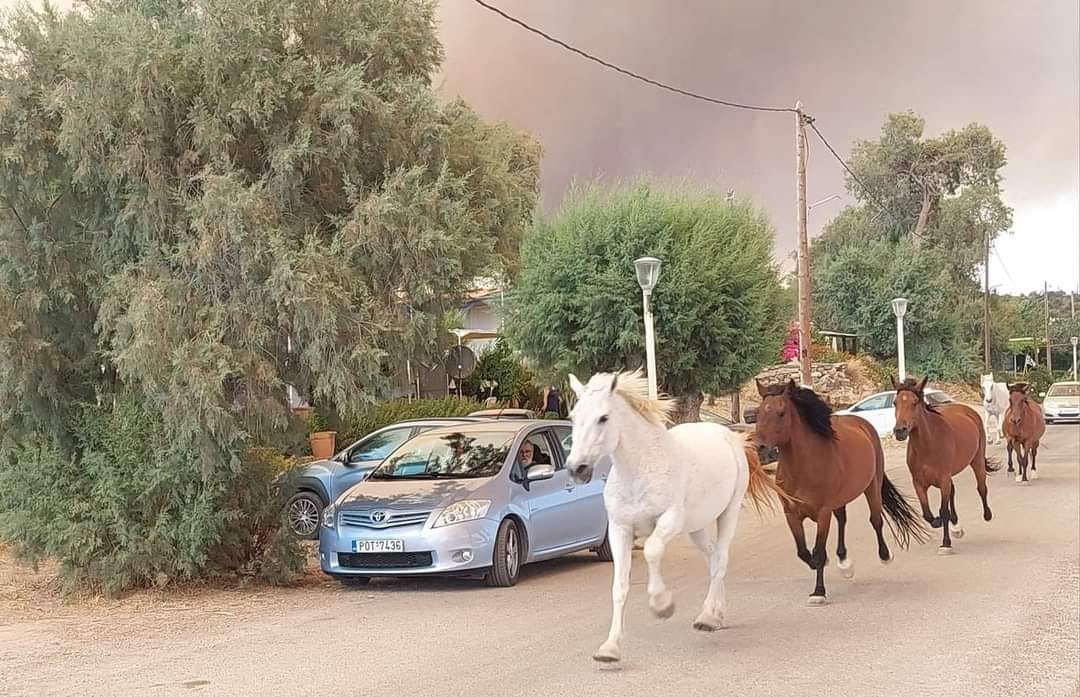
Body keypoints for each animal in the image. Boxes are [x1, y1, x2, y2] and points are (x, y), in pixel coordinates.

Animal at [561, 367, 781, 661]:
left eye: (603, 418)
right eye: (573, 417)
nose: (577, 469)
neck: (641, 469)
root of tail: (730, 436)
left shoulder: (669, 521)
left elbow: (652, 550)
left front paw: (661, 605)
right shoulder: (619, 530)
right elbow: (619, 587)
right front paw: (609, 648)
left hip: (728, 513)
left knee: (721, 559)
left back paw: (707, 617)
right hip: (696, 527)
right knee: (713, 559)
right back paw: (716, 613)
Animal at [751, 378, 928, 600]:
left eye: (781, 412)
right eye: (759, 412)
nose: (760, 447)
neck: (802, 468)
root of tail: (861, 423)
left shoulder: (823, 513)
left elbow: (819, 551)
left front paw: (818, 592)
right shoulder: (791, 514)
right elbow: (803, 551)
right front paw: (820, 565)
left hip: (872, 486)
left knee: (876, 520)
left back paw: (884, 555)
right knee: (843, 520)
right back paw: (844, 563)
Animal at [889, 376, 997, 553]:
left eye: (914, 402)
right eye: (895, 402)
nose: (900, 431)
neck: (928, 445)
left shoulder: (943, 479)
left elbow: (943, 510)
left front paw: (946, 543)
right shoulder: (918, 483)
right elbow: (927, 513)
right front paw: (937, 522)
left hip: (977, 461)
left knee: (981, 487)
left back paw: (987, 515)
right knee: (953, 492)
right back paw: (956, 526)